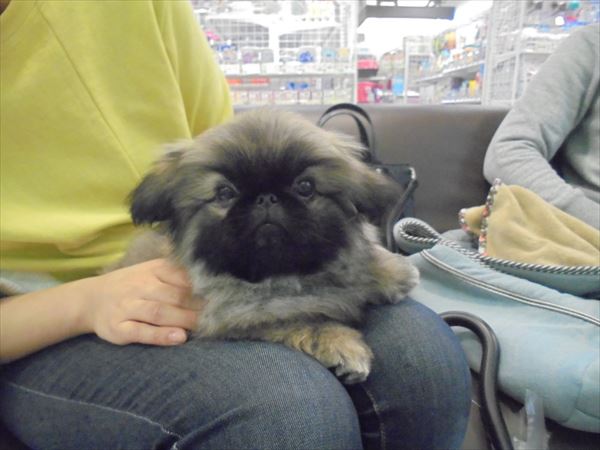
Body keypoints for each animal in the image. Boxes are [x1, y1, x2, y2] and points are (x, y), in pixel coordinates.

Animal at [118, 109, 419, 384]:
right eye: (224, 193)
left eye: (305, 186)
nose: (266, 198)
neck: (286, 275)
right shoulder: (237, 315)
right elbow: (299, 319)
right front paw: (340, 343)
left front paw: (391, 271)